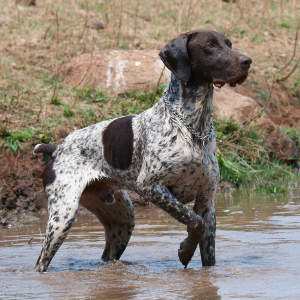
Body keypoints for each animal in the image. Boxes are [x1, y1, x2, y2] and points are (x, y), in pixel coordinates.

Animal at [32, 29, 251, 272]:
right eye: (211, 45)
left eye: (229, 44)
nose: (247, 61)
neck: (193, 128)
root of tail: (56, 149)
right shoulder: (151, 187)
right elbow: (195, 222)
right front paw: (186, 251)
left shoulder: (207, 201)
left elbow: (205, 242)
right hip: (62, 217)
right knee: (41, 262)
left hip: (123, 220)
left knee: (109, 254)